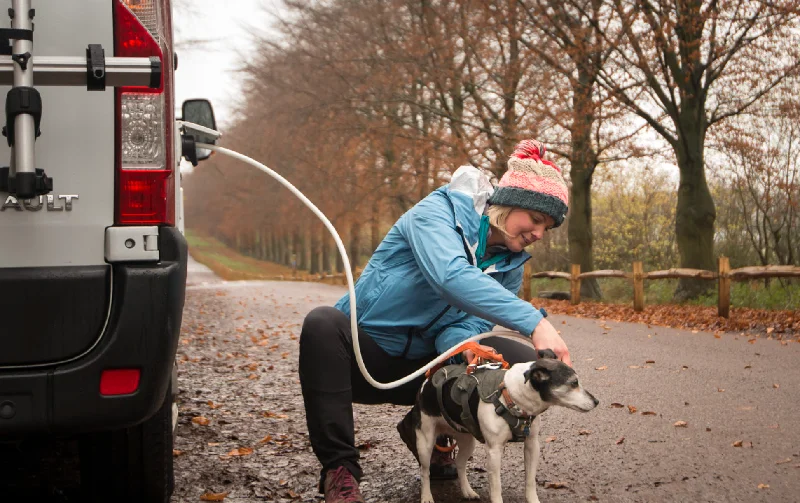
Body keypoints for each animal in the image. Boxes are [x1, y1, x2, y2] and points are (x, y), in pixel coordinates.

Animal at [410, 350, 596, 503]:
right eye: (574, 383)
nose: (597, 401)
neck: (511, 397)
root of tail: (427, 381)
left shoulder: (532, 445)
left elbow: (530, 481)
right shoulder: (494, 451)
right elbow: (496, 487)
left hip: (467, 441)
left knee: (460, 464)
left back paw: (467, 491)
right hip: (425, 443)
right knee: (425, 471)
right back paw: (426, 496)